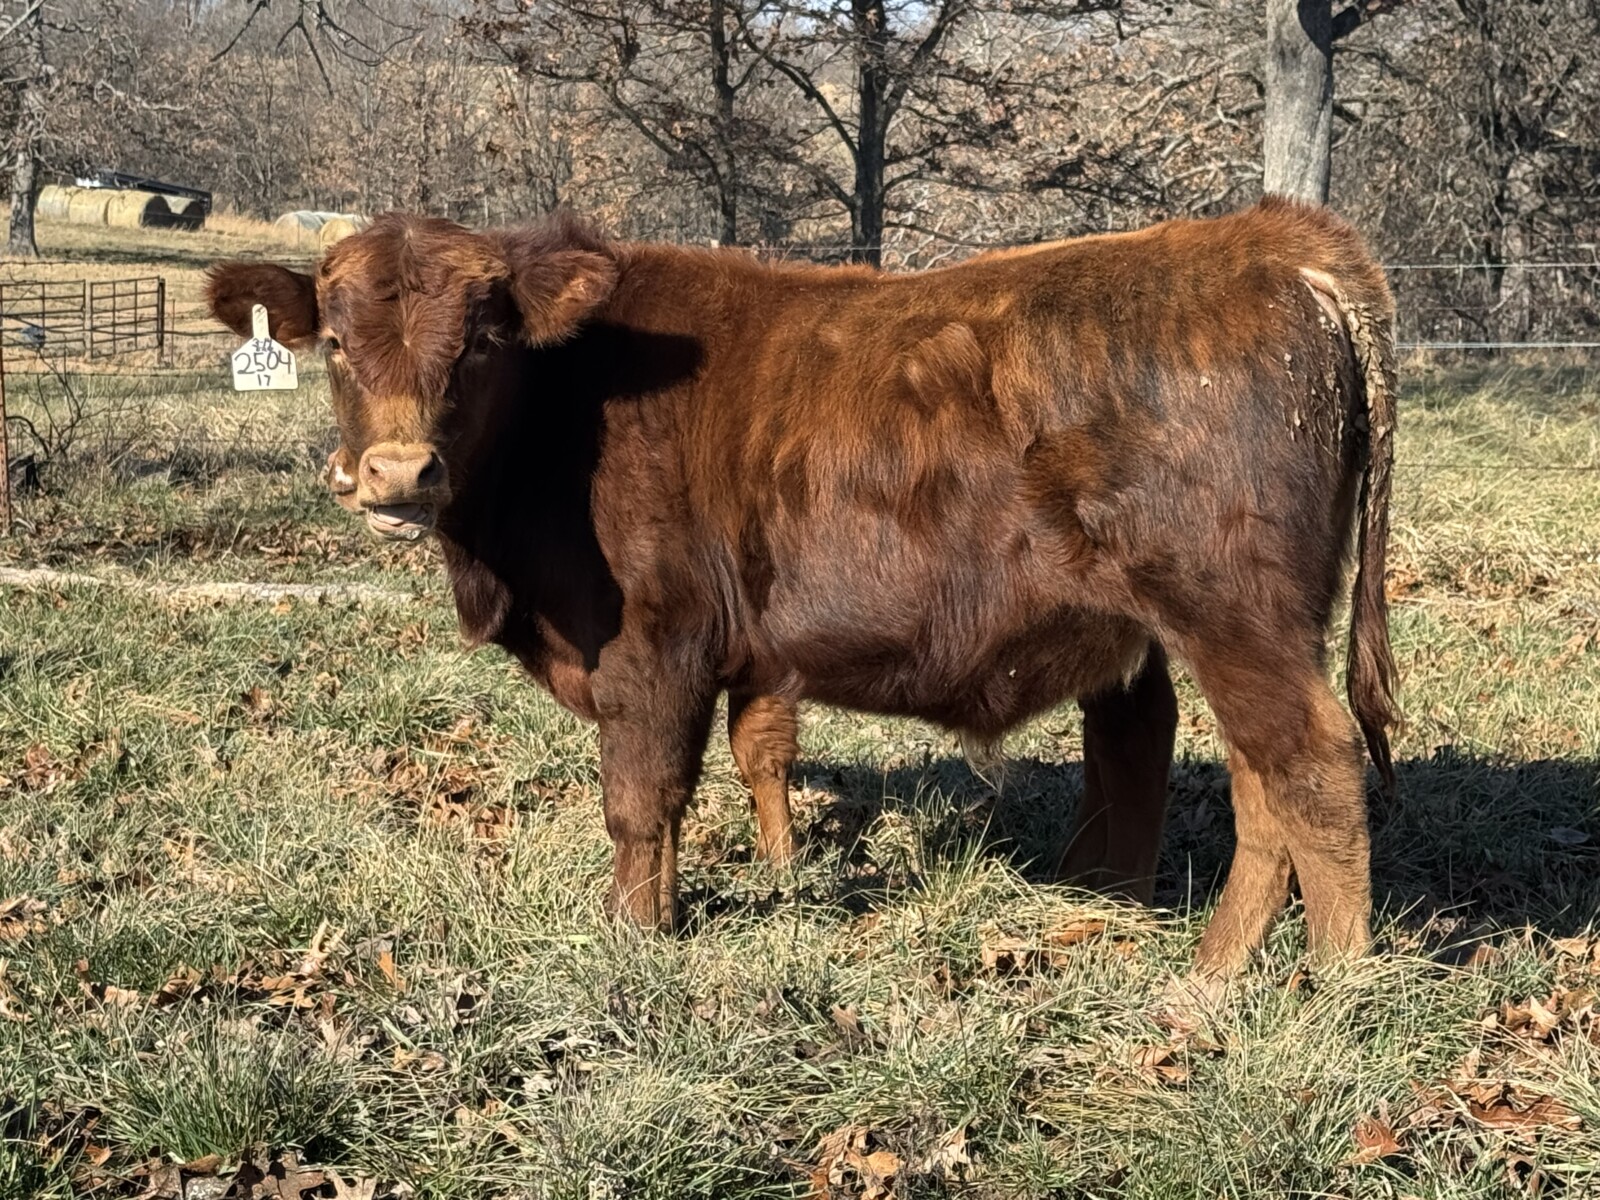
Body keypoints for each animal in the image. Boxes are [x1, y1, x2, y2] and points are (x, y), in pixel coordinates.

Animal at [207, 196, 1398, 979]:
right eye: (335, 344)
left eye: (482, 342)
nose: (398, 474)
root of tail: (1267, 238)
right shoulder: (743, 651)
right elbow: (743, 760)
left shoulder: (654, 644)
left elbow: (641, 799)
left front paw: (636, 938)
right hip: (1205, 627)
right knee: (1211, 769)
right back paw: (1180, 951)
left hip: (1234, 616)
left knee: (1307, 768)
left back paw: (1315, 992)